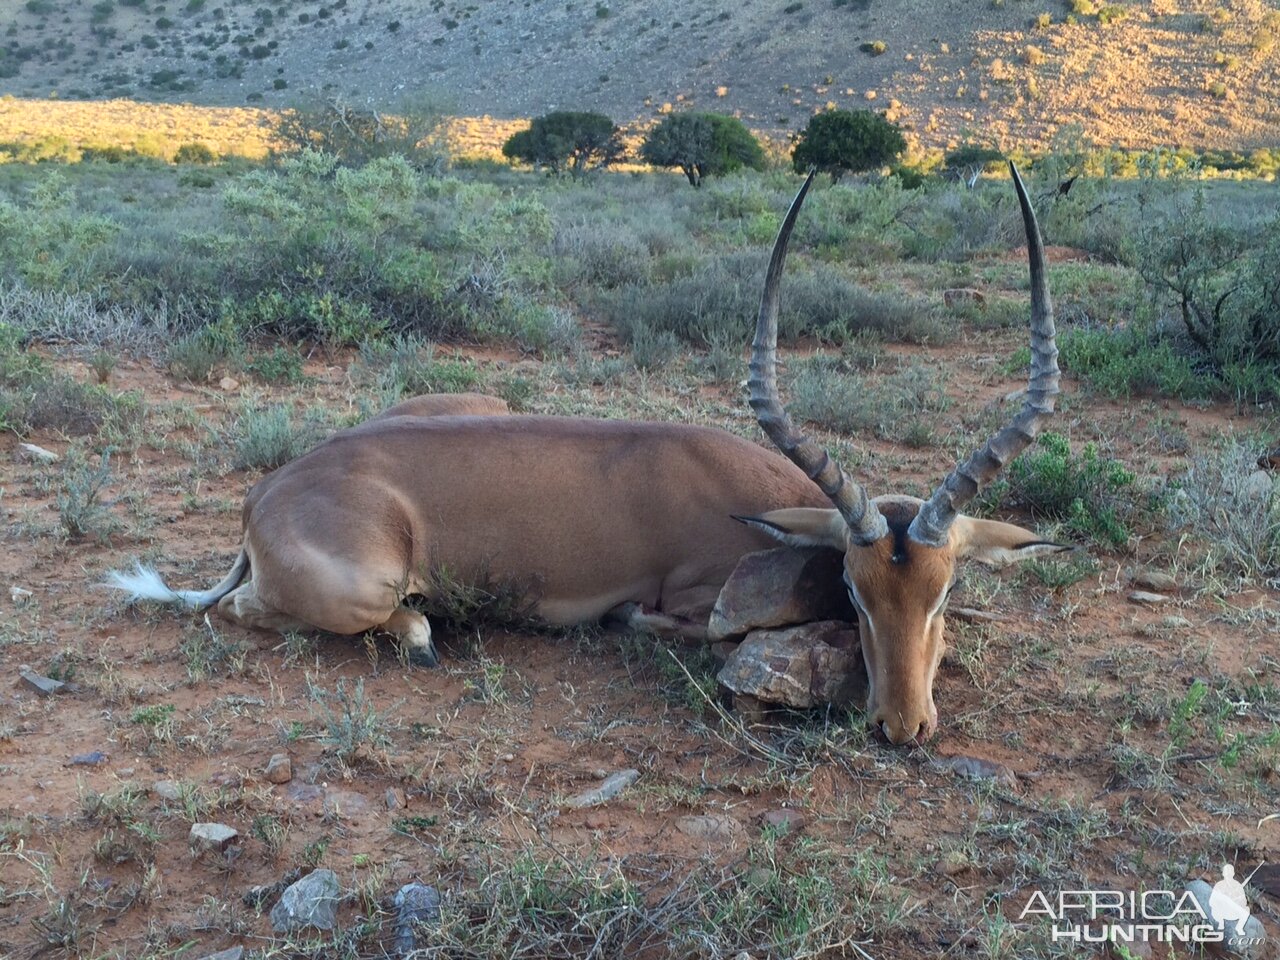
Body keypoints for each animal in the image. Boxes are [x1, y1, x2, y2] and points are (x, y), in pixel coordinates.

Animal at [110, 165, 1064, 747]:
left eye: (943, 592)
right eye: (858, 595)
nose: (901, 728)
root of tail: (266, 496)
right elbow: (665, 622)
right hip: (362, 588)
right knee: (258, 615)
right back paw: (420, 634)